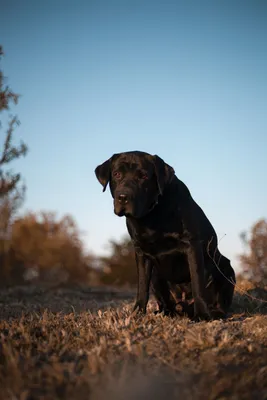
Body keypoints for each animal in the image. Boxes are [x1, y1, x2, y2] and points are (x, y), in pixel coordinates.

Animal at [94, 152, 237, 320]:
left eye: (143, 176)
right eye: (116, 174)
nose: (123, 197)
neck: (152, 214)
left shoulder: (192, 245)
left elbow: (197, 282)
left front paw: (202, 314)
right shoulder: (141, 251)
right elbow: (142, 286)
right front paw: (137, 313)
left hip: (226, 267)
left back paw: (214, 312)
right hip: (157, 276)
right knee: (167, 303)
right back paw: (165, 312)